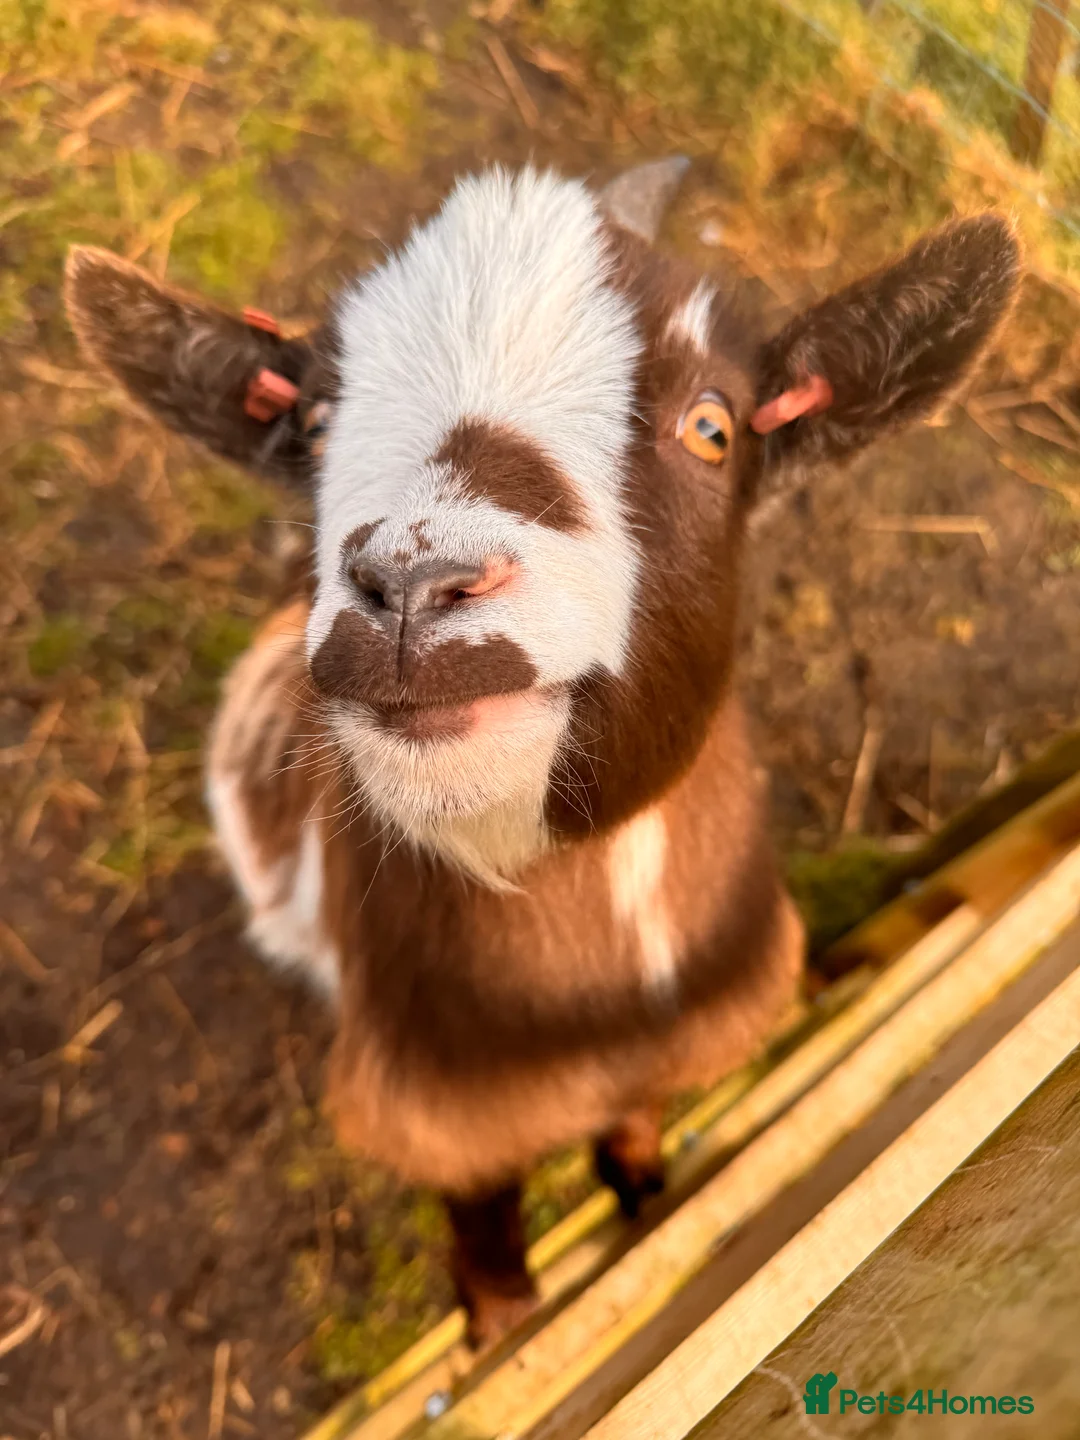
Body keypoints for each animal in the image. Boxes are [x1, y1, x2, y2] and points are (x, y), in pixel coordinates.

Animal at [65, 163, 1018, 1346]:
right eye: (317, 423)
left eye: (713, 427)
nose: (414, 587)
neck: (586, 1014)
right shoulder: (442, 1115)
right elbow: (487, 1239)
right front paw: (502, 1322)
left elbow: (639, 1139)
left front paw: (647, 1194)